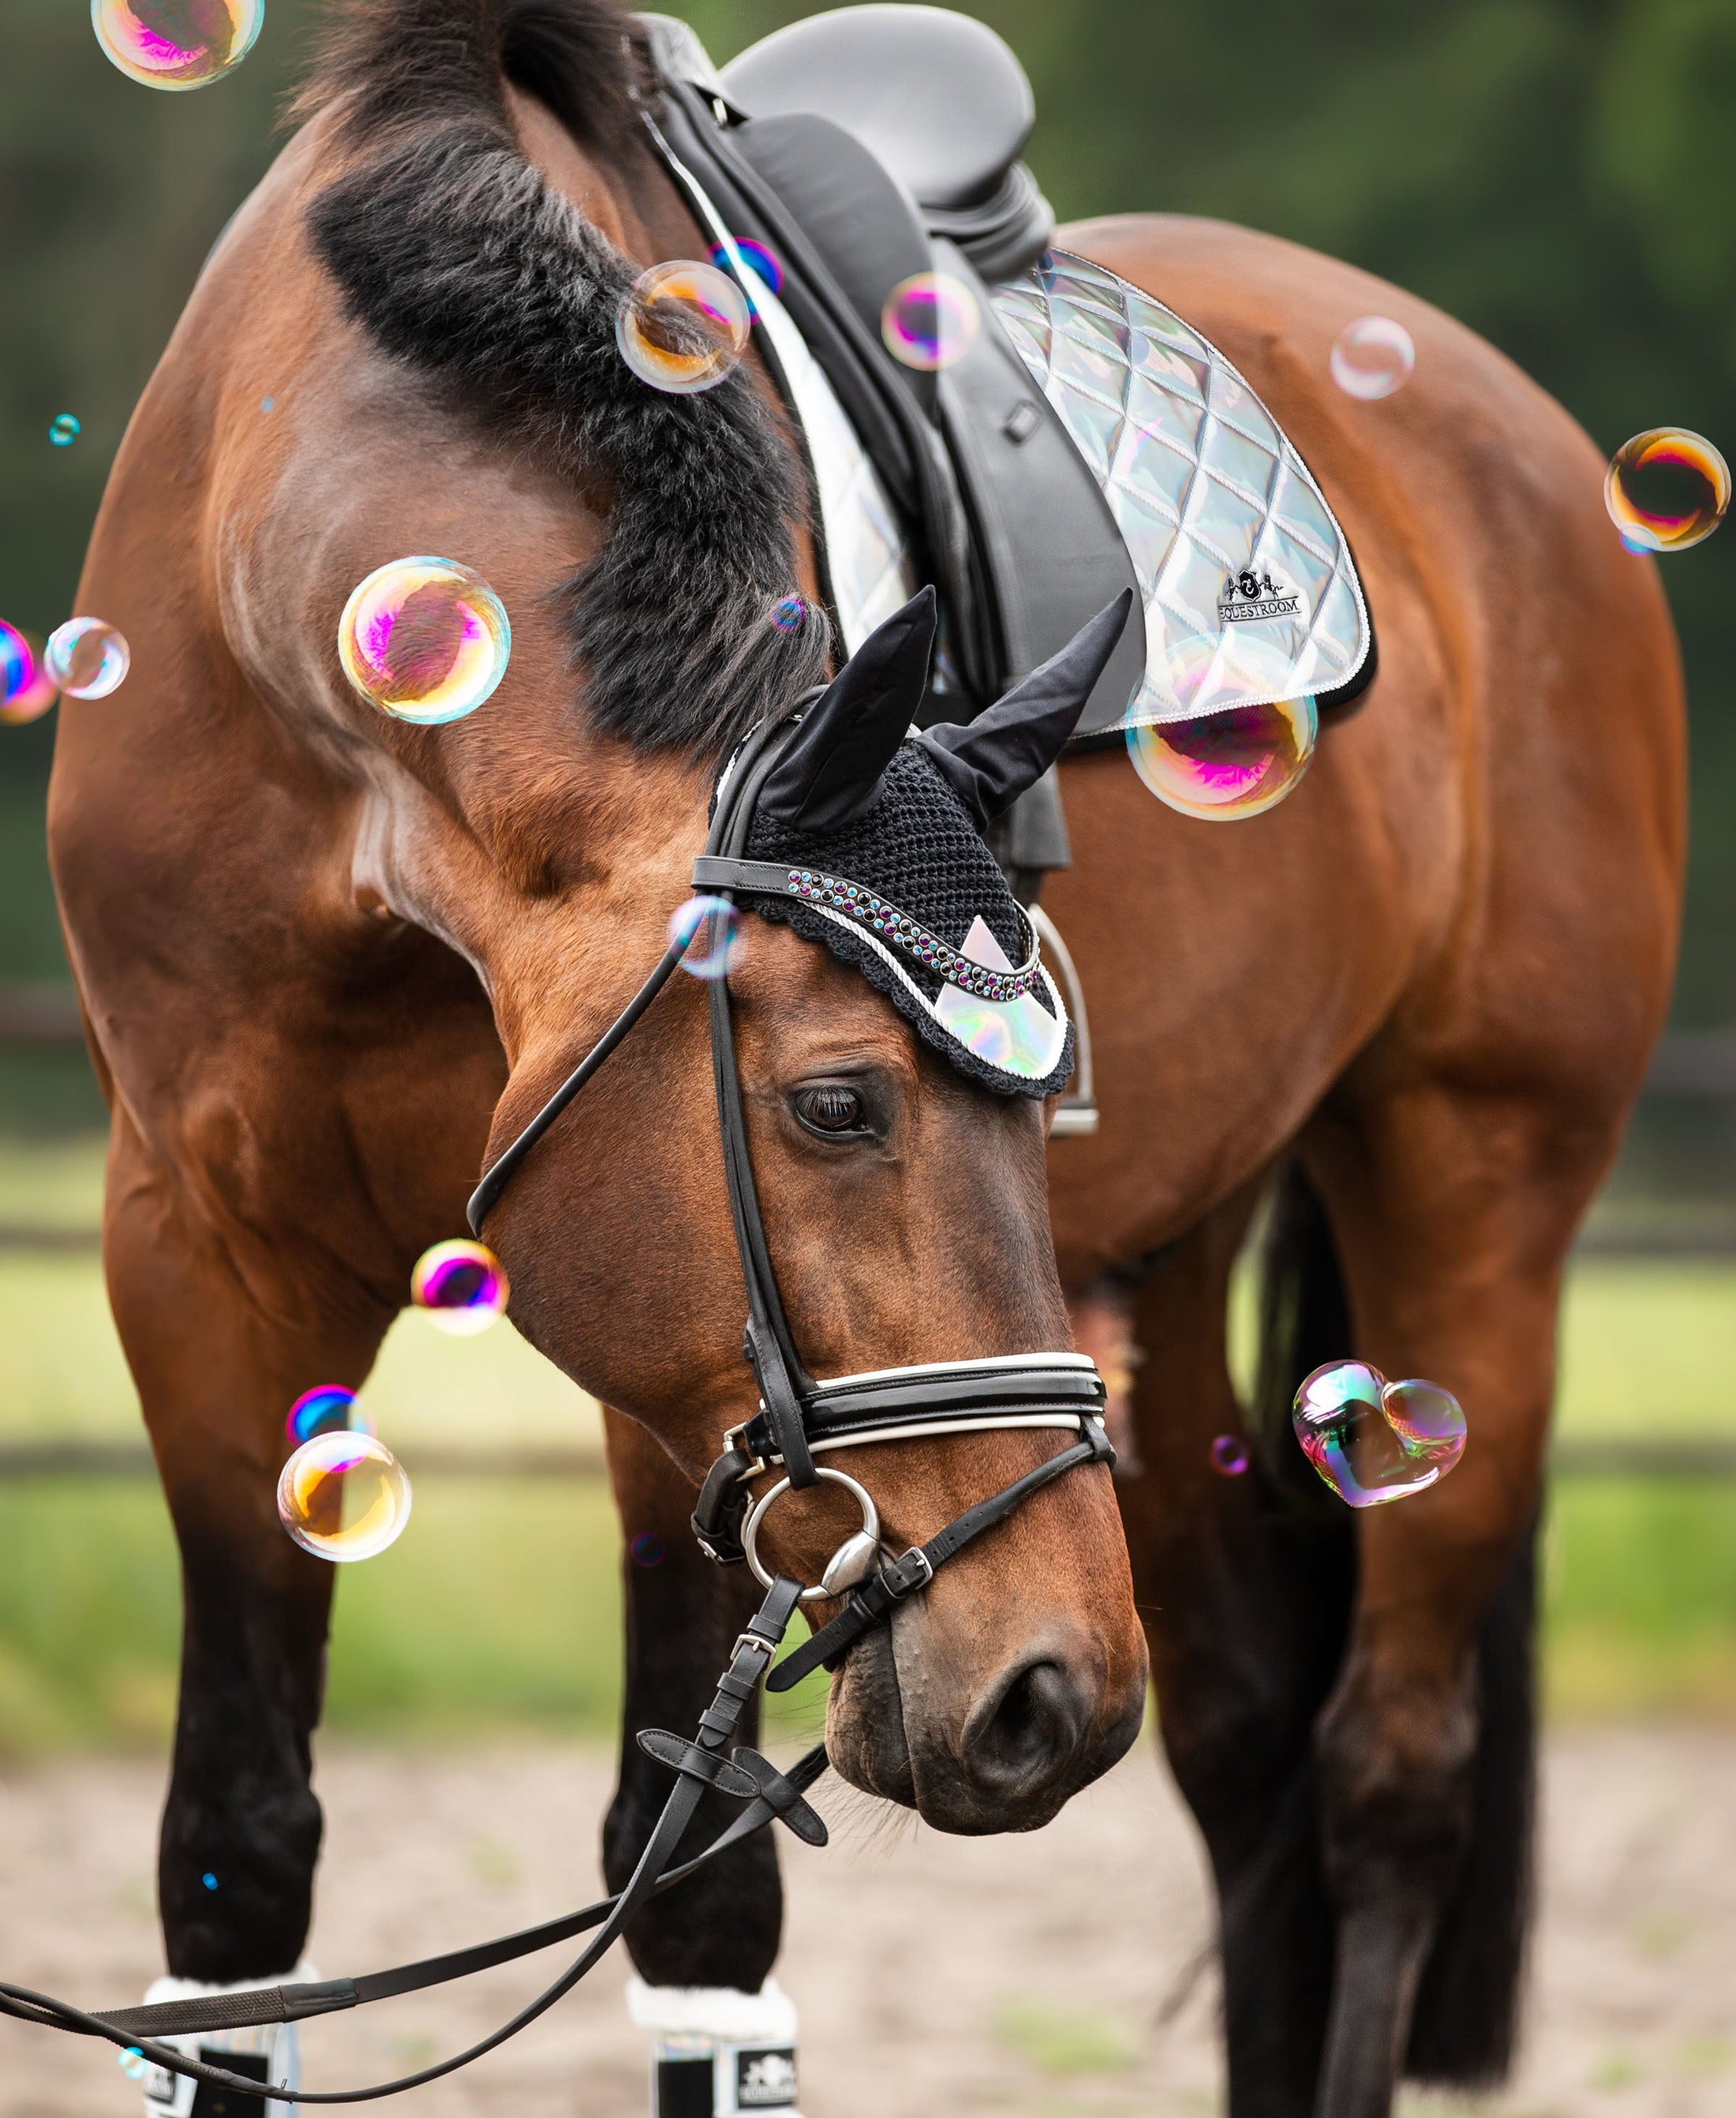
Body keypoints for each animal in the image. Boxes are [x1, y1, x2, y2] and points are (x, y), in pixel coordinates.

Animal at [47, 3, 1682, 2114]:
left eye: (1030, 1103)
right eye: (836, 1102)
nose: (1044, 1688)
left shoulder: (674, 1394)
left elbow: (697, 1922)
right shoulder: (203, 1263)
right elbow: (234, 1894)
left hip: (1471, 1195)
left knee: (1384, 1782)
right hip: (1167, 1284)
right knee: (1244, 1751)